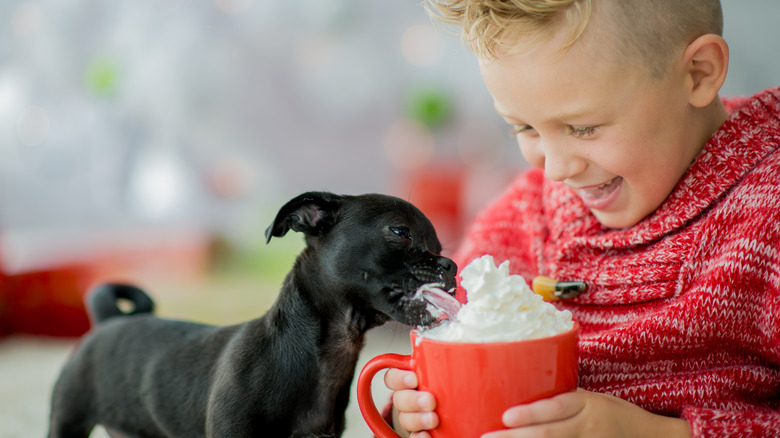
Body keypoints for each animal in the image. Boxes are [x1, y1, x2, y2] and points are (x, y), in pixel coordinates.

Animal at [48, 192, 454, 438]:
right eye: (399, 232)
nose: (449, 265)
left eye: (439, 247)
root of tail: (109, 319)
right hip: (68, 420)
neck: (326, 355)